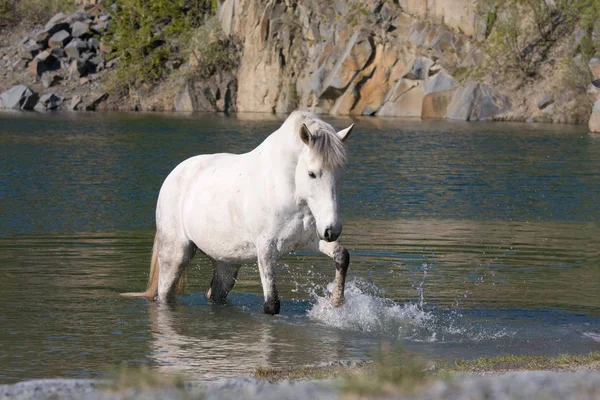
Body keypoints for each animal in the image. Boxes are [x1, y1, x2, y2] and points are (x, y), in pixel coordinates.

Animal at [123, 111, 354, 314]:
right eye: (312, 174)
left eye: (341, 173)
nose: (332, 230)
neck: (286, 189)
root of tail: (175, 174)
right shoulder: (265, 249)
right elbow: (271, 305)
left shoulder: (309, 239)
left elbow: (342, 255)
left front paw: (336, 301)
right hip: (175, 254)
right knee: (164, 295)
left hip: (226, 263)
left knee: (214, 295)